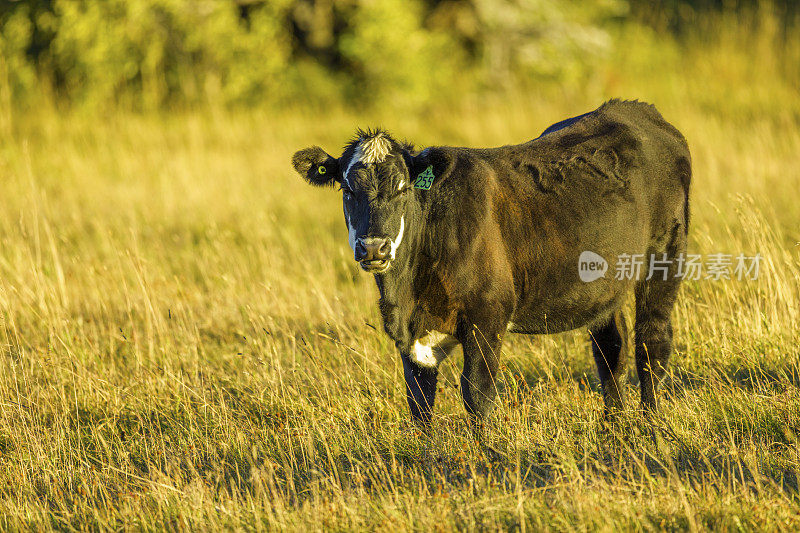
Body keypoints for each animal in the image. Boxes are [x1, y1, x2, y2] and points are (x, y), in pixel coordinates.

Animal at [290, 98, 692, 424]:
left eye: (403, 188)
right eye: (347, 189)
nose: (374, 247)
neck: (407, 292)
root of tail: (636, 110)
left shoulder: (488, 315)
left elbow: (477, 394)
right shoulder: (412, 335)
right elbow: (419, 403)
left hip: (665, 256)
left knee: (651, 343)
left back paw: (651, 425)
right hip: (603, 283)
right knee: (611, 349)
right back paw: (614, 425)